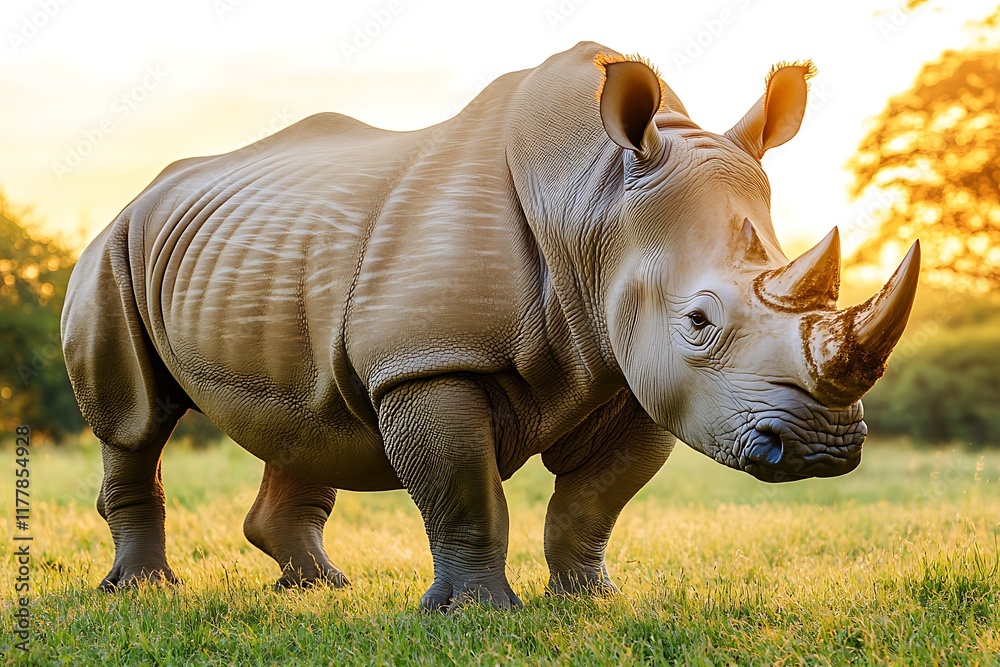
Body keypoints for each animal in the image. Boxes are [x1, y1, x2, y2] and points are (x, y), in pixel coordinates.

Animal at [62, 42, 920, 610]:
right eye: (701, 321)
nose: (823, 448)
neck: (596, 204)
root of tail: (137, 192)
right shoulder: (428, 359)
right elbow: (465, 488)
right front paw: (475, 615)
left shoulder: (639, 373)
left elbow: (594, 500)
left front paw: (590, 599)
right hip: (111, 251)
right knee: (135, 421)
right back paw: (143, 591)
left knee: (306, 412)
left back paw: (318, 588)